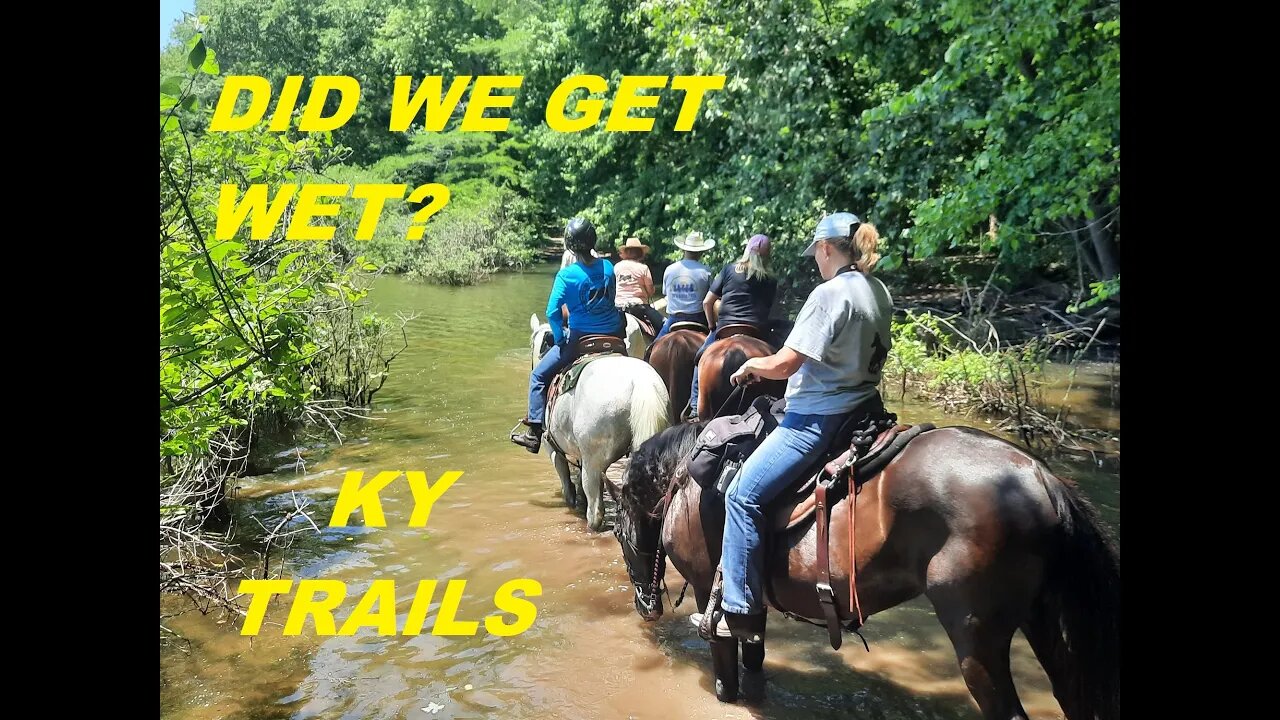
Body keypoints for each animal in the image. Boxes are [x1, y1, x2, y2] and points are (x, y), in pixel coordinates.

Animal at [616, 420, 1121, 717]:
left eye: (620, 535)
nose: (645, 606)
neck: (683, 479)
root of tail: (1042, 478)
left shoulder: (709, 587)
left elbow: (724, 653)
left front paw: (725, 694)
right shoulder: (750, 598)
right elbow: (754, 648)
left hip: (976, 637)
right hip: (1046, 626)